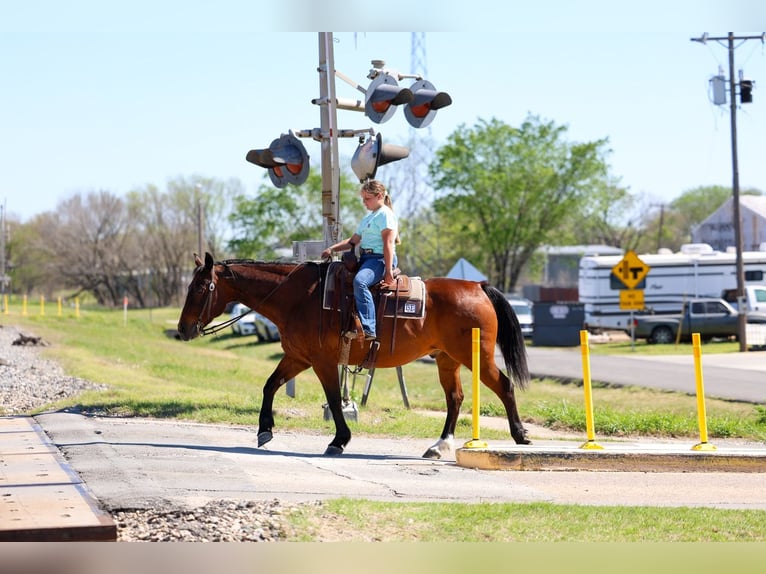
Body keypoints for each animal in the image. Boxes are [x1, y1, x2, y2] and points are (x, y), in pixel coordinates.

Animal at [177, 252, 531, 457]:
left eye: (199, 288)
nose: (182, 329)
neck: (298, 297)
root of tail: (478, 286)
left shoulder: (322, 362)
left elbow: (334, 400)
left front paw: (339, 441)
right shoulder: (298, 358)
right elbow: (270, 385)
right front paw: (265, 430)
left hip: (476, 358)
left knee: (504, 386)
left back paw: (520, 435)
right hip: (447, 359)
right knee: (455, 398)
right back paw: (438, 445)